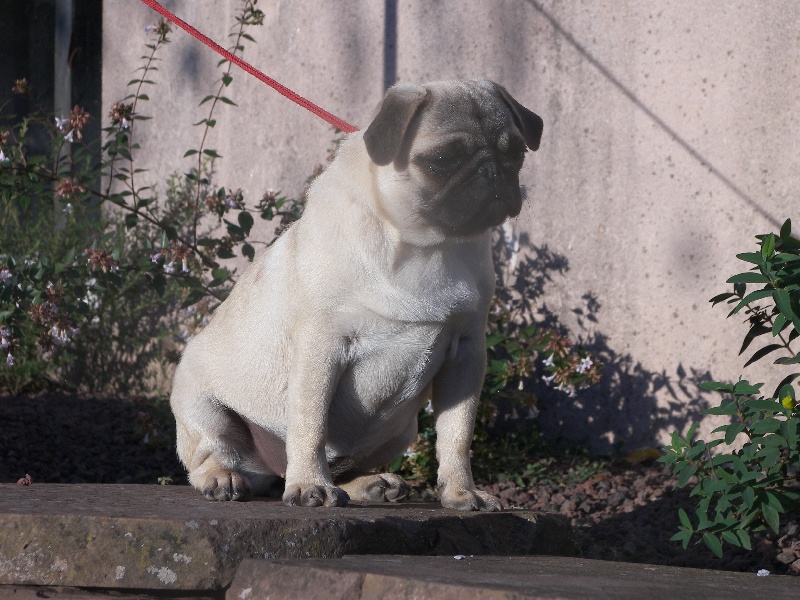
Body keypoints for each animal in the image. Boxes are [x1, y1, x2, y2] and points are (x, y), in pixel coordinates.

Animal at [170, 78, 544, 510]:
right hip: (204, 409)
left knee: (347, 467)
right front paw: (309, 485)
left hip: (401, 431)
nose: (492, 170)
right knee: (211, 454)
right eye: (441, 160)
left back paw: (369, 485)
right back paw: (225, 478)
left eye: (516, 152)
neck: (424, 246)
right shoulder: (321, 349)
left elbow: (456, 436)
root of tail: (273, 472)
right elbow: (310, 427)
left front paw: (461, 491)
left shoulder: (466, 355)